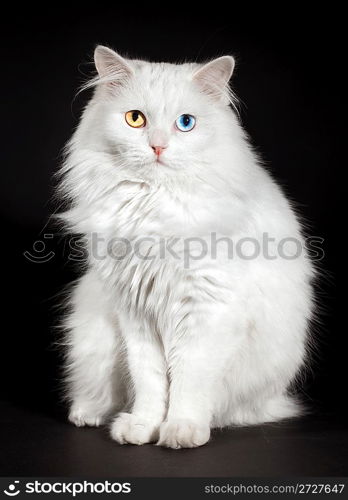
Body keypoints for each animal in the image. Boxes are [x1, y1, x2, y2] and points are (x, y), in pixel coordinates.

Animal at [59, 47, 316, 450]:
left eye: (185, 123)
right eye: (135, 119)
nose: (158, 146)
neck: (155, 207)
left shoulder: (207, 310)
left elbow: (188, 381)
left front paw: (181, 430)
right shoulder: (136, 313)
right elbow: (150, 382)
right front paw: (142, 426)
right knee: (99, 393)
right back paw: (90, 414)